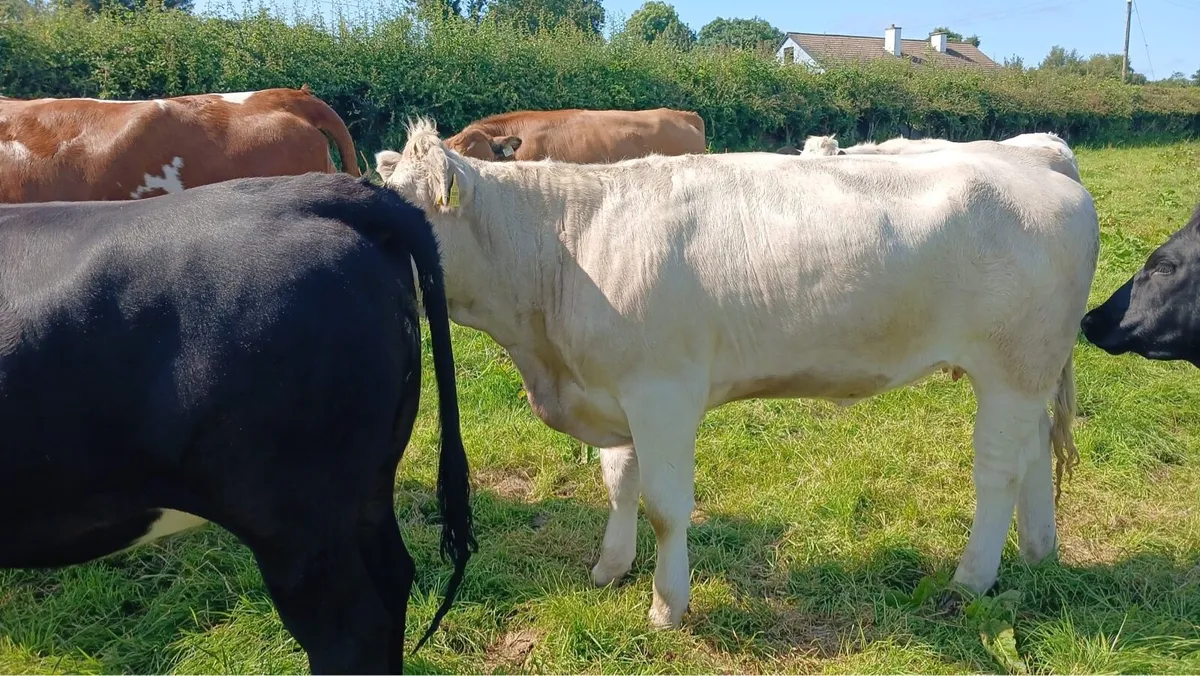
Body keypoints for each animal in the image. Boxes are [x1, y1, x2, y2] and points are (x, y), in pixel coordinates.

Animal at [374, 119, 1100, 630]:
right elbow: (618, 485)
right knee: (1034, 451)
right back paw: (1038, 553)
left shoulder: (662, 393)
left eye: (406, 215)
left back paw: (970, 580)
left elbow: (665, 507)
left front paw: (667, 606)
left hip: (1010, 366)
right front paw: (610, 568)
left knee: (998, 472)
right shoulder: (615, 390)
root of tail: (1035, 160)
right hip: (1029, 371)